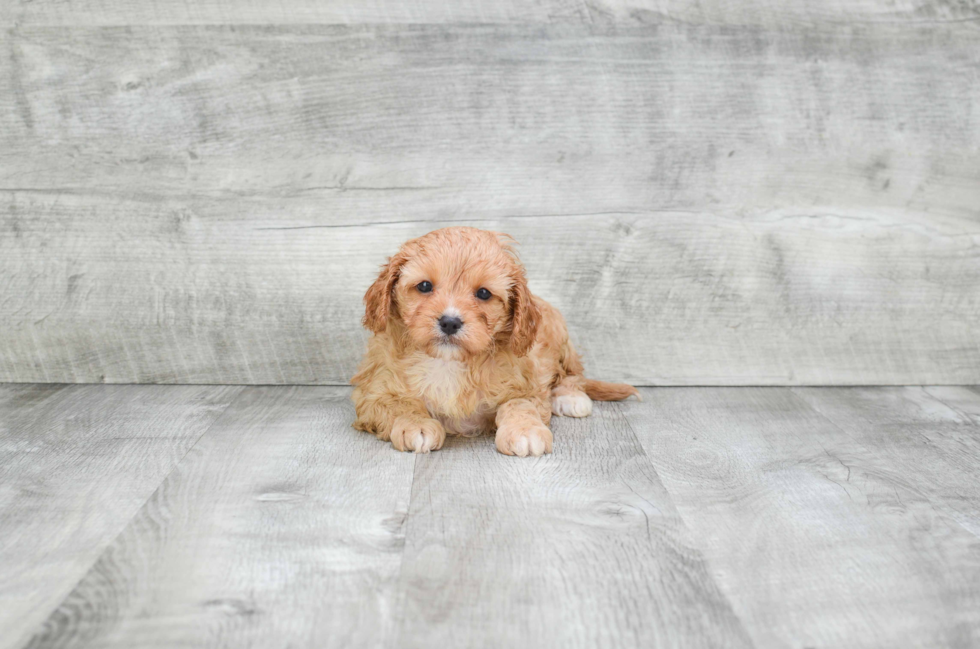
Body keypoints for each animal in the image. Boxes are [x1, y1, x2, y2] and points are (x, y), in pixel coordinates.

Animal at [348, 227, 640, 456]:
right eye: (424, 286)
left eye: (484, 293)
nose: (450, 322)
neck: (447, 362)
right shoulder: (373, 392)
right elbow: (399, 404)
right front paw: (415, 424)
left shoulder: (527, 384)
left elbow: (519, 404)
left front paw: (525, 430)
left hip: (559, 330)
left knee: (572, 372)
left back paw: (570, 397)